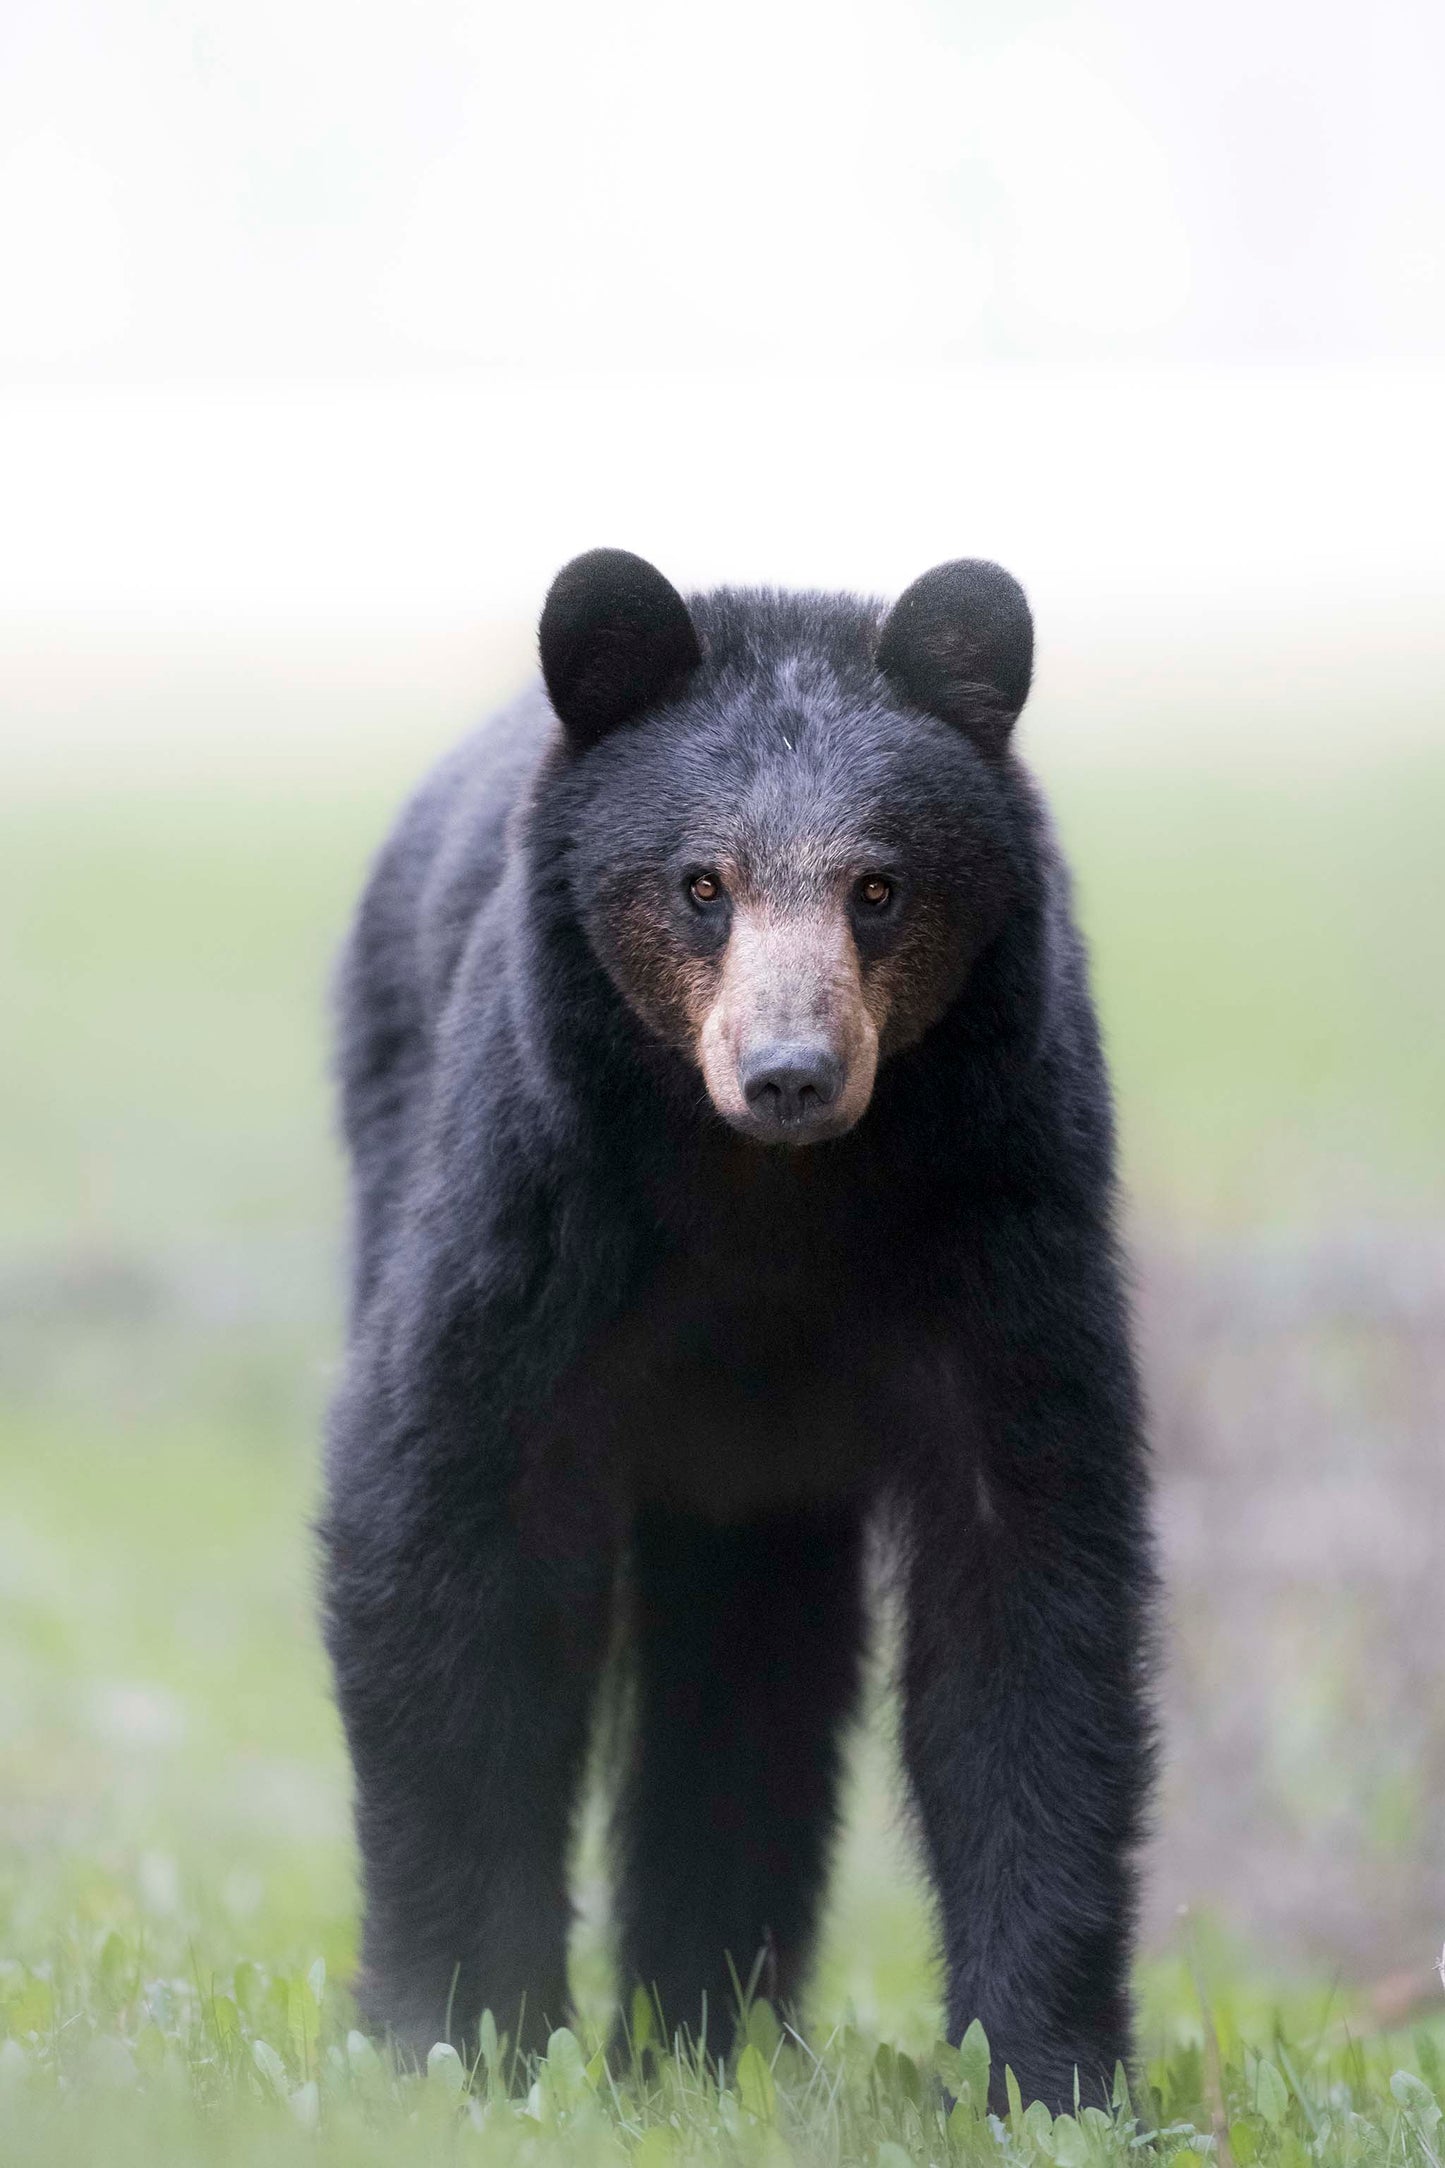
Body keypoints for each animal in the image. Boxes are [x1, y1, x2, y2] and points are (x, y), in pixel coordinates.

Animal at [321, 548, 1156, 2113]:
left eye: (878, 887)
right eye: (699, 883)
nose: (788, 1072)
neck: (766, 1201)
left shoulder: (1006, 1208)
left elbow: (1032, 1586)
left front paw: (1048, 2075)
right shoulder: (532, 1203)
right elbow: (447, 1530)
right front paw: (456, 2032)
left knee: (753, 1672)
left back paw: (700, 2030)